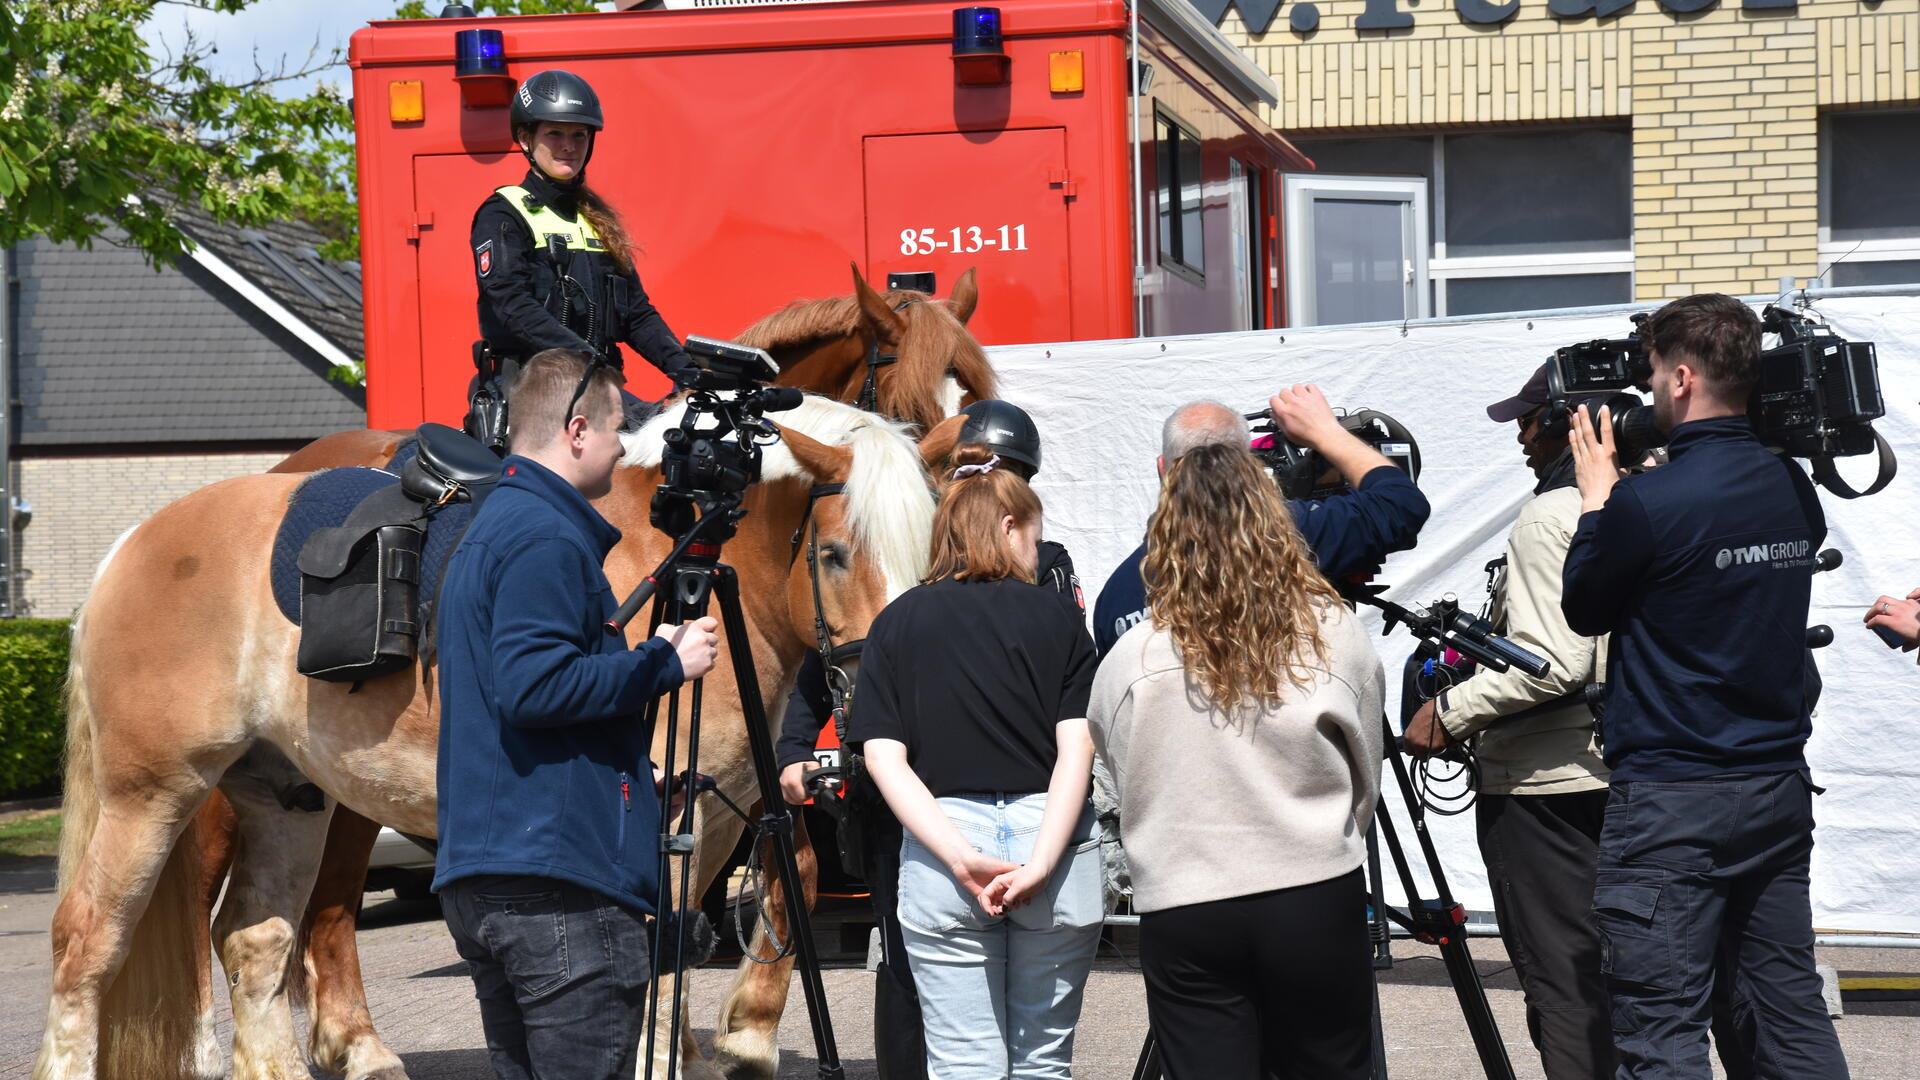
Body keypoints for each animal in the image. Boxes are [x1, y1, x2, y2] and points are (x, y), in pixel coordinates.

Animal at [41, 397, 975, 1076]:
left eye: (933, 546)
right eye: (834, 553)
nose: (892, 687)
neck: (691, 557)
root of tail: (133, 545)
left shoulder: (720, 817)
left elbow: (719, 925)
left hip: (285, 797)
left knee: (255, 941)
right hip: (155, 795)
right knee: (89, 944)